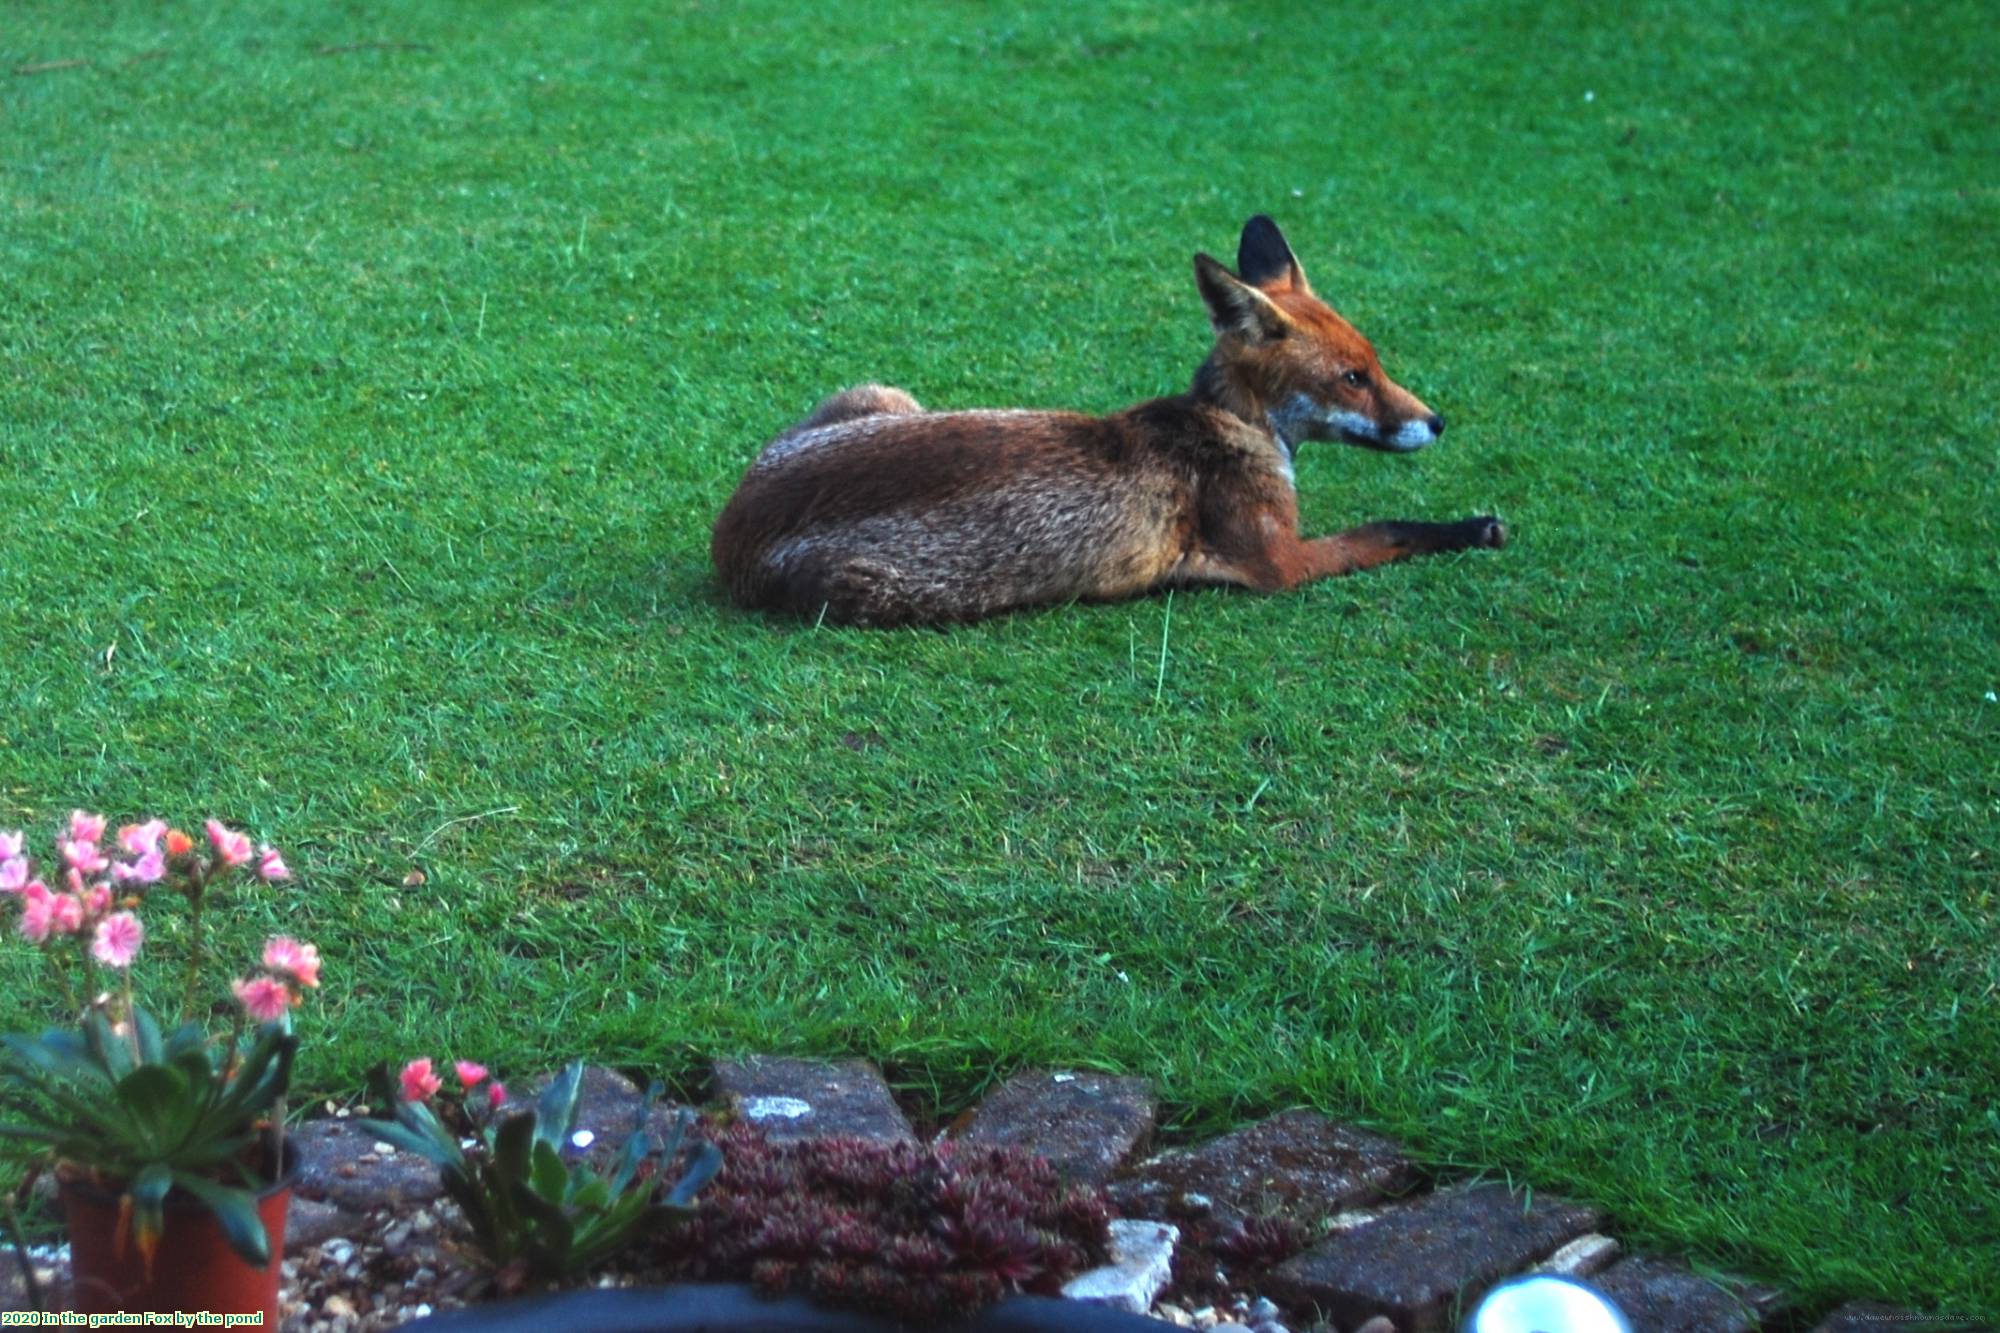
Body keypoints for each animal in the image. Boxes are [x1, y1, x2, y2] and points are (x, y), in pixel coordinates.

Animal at [712, 214, 1504, 628]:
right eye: (1353, 378)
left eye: (1376, 364)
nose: (1437, 421)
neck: (1230, 427)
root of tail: (732, 525)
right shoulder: (1279, 564)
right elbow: (1388, 530)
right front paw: (1470, 529)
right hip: (887, 592)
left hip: (883, 393)